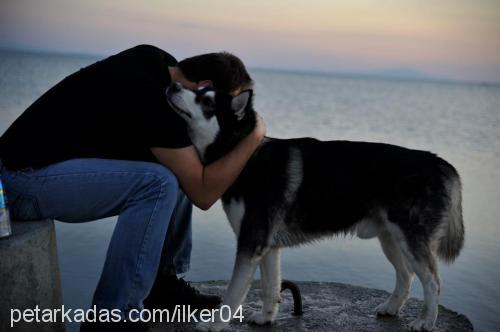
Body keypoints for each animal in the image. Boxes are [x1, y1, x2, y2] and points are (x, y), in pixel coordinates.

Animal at [167, 81, 464, 330]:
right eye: (198, 89)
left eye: (206, 101)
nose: (172, 85)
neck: (245, 155)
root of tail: (441, 163)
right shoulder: (267, 246)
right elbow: (270, 287)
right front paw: (266, 317)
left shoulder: (251, 243)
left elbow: (233, 292)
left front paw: (214, 324)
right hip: (391, 239)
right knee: (405, 275)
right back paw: (392, 307)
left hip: (410, 241)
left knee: (433, 283)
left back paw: (426, 321)